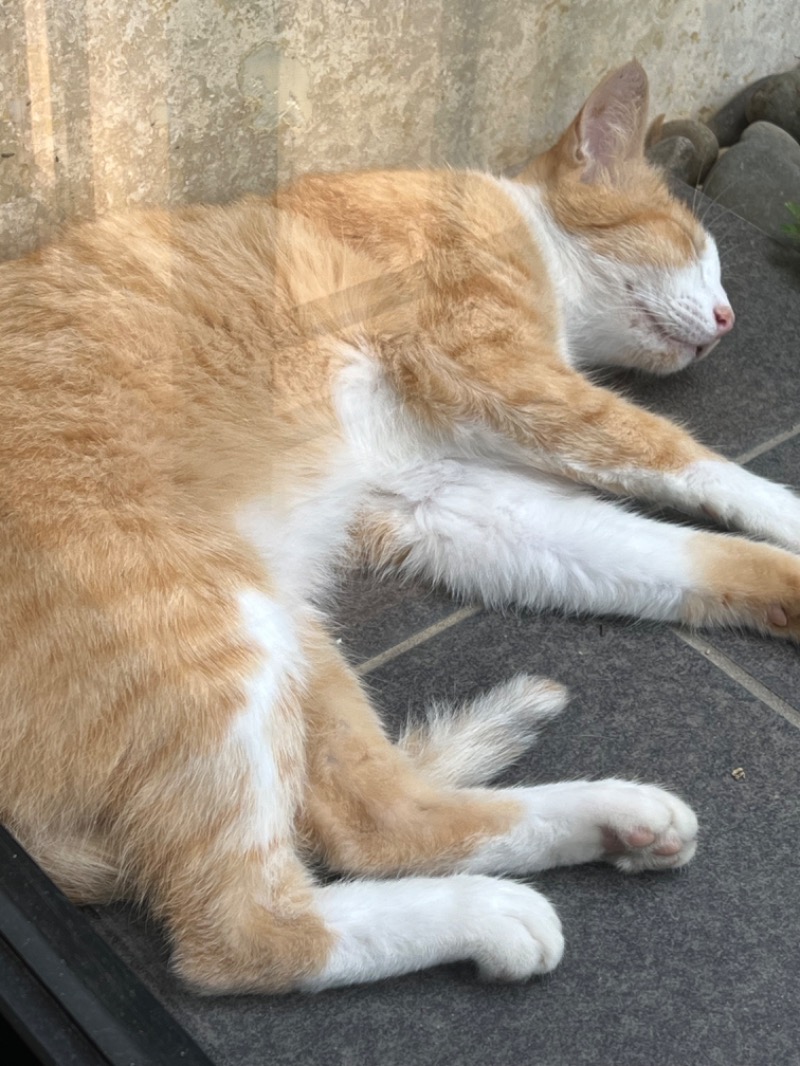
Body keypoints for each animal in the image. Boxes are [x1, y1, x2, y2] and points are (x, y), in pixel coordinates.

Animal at [1, 58, 800, 993]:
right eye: (693, 250)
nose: (727, 319)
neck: (518, 222)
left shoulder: (440, 495)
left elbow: (675, 553)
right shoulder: (497, 370)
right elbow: (675, 451)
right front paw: (789, 508)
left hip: (289, 632)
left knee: (376, 819)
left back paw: (610, 817)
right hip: (210, 616)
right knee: (247, 930)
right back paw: (489, 913)